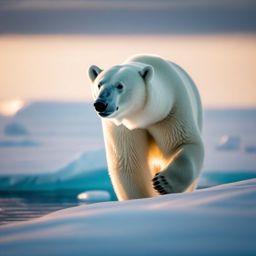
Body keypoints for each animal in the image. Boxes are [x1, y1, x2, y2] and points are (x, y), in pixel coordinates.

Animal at [88, 55, 204, 201]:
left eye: (120, 85)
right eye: (99, 84)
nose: (100, 104)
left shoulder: (172, 111)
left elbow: (185, 142)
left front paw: (162, 183)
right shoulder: (121, 128)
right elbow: (128, 161)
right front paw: (139, 199)